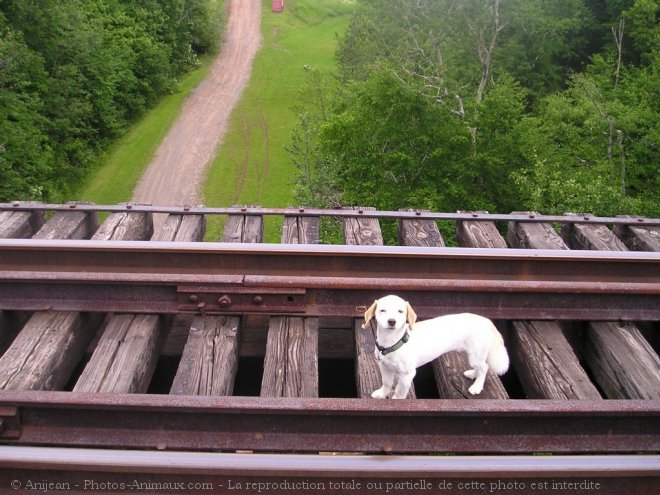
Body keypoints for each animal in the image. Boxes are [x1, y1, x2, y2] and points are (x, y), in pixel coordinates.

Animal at [364, 294, 508, 400]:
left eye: (400, 311)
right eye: (382, 310)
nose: (392, 321)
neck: (392, 342)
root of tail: (487, 321)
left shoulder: (407, 375)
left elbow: (399, 392)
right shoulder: (384, 366)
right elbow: (387, 383)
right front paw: (382, 394)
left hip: (475, 355)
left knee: (485, 367)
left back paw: (476, 387)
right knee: (481, 367)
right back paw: (473, 374)